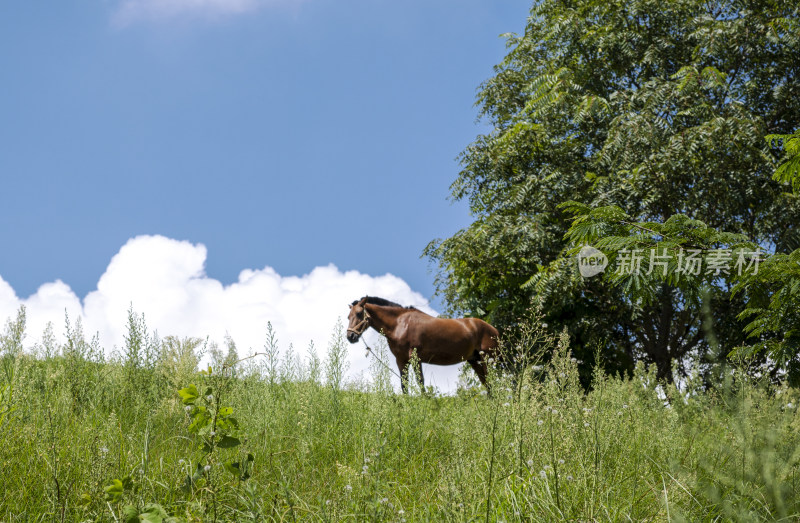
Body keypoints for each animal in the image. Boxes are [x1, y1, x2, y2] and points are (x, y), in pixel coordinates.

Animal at [346, 294, 496, 392]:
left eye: (359, 314)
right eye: (348, 316)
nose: (350, 336)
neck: (400, 324)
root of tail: (492, 329)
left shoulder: (415, 358)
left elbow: (420, 382)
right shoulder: (401, 360)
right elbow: (404, 384)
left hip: (488, 359)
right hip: (475, 360)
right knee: (487, 384)